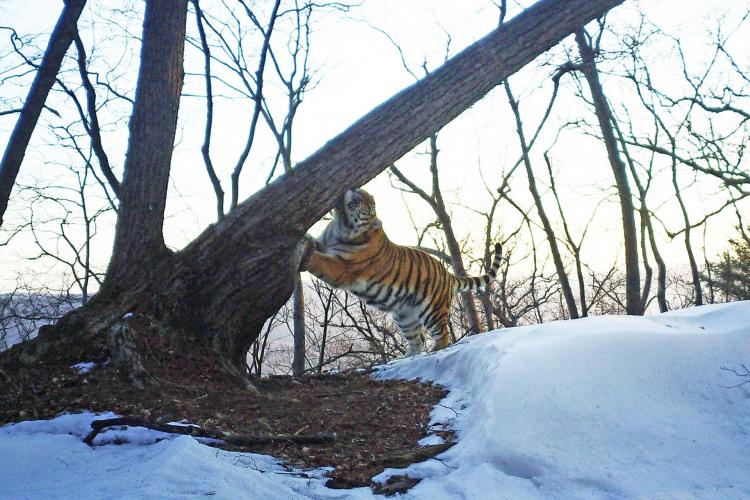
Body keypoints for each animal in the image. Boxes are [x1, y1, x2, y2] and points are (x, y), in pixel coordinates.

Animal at [296, 188, 502, 356]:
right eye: (364, 195)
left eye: (369, 204)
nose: (357, 190)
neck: (341, 226)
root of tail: (448, 273)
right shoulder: (324, 243)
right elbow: (314, 244)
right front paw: (304, 240)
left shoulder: (342, 267)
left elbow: (320, 260)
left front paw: (303, 253)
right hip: (405, 315)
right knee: (418, 339)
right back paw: (404, 358)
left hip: (432, 310)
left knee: (442, 334)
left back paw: (434, 351)